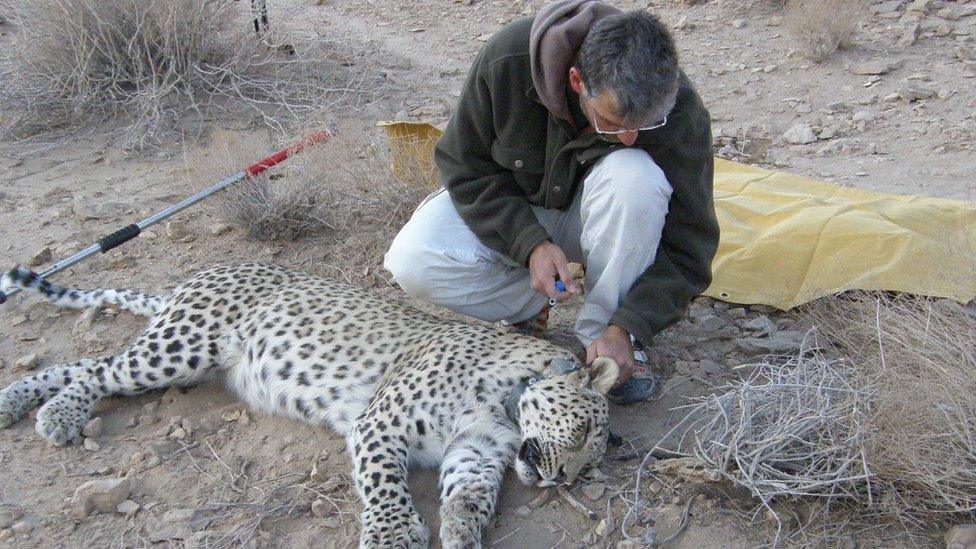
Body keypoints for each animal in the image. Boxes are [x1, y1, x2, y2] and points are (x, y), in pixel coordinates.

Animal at [0, 264, 616, 544]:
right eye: (585, 433)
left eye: (591, 465)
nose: (563, 479)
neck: (505, 407)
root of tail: (199, 275)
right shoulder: (379, 422)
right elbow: (384, 484)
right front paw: (391, 535)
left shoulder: (477, 451)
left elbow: (471, 497)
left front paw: (462, 533)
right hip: (182, 347)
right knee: (99, 369)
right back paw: (55, 414)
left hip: (180, 358)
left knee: (84, 365)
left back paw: (18, 399)